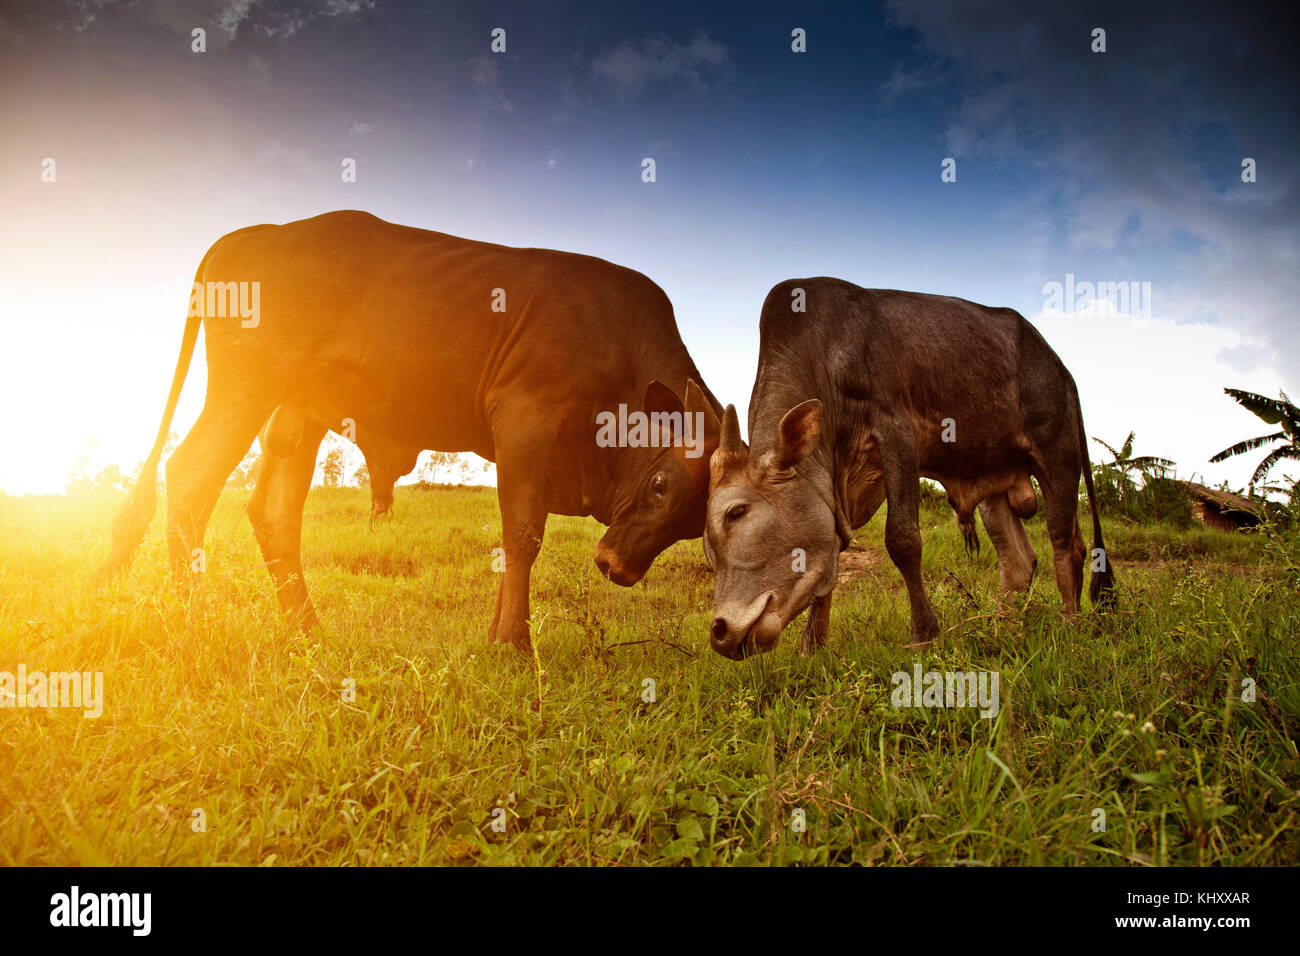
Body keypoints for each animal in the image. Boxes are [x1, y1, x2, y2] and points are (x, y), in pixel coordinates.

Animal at [98, 210, 722, 651]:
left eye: (699, 525)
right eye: (661, 484)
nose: (616, 567)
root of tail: (249, 234)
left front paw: (496, 636)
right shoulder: (524, 420)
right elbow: (522, 533)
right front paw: (514, 643)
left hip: (297, 413)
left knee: (273, 511)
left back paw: (308, 630)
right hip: (246, 389)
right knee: (190, 476)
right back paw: (192, 622)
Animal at [703, 279, 1114, 660]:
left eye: (737, 512)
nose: (720, 633)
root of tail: (1059, 367)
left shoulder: (897, 433)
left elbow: (902, 541)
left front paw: (925, 634)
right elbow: (829, 556)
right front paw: (812, 647)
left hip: (1057, 455)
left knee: (1067, 546)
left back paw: (1070, 628)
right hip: (995, 481)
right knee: (1017, 561)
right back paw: (1002, 631)